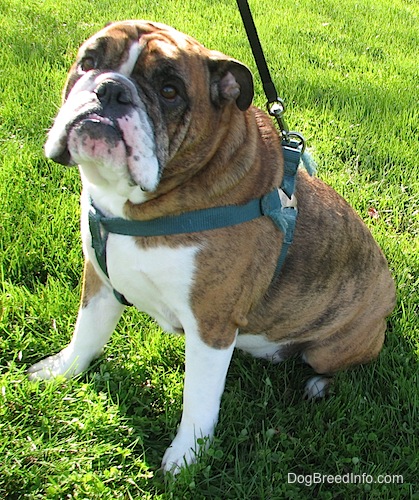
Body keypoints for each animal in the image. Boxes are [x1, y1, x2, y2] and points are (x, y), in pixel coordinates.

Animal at [27, 19, 396, 472]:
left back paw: (317, 385)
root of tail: (390, 294)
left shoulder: (211, 326)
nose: (110, 89)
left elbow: (198, 400)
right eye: (89, 61)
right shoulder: (99, 280)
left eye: (170, 90)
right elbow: (87, 334)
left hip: (332, 348)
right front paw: (61, 371)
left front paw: (185, 459)